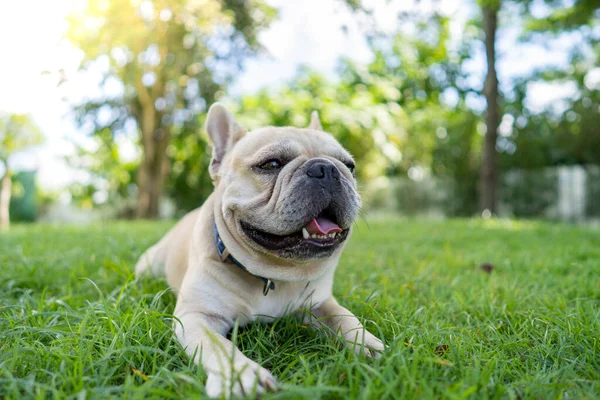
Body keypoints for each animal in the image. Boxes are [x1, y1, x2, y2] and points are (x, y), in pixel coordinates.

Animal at [136, 103, 384, 396]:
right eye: (271, 164)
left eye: (349, 166)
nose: (326, 168)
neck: (272, 274)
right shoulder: (197, 316)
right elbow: (221, 348)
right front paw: (241, 376)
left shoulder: (319, 303)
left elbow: (344, 316)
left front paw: (366, 343)